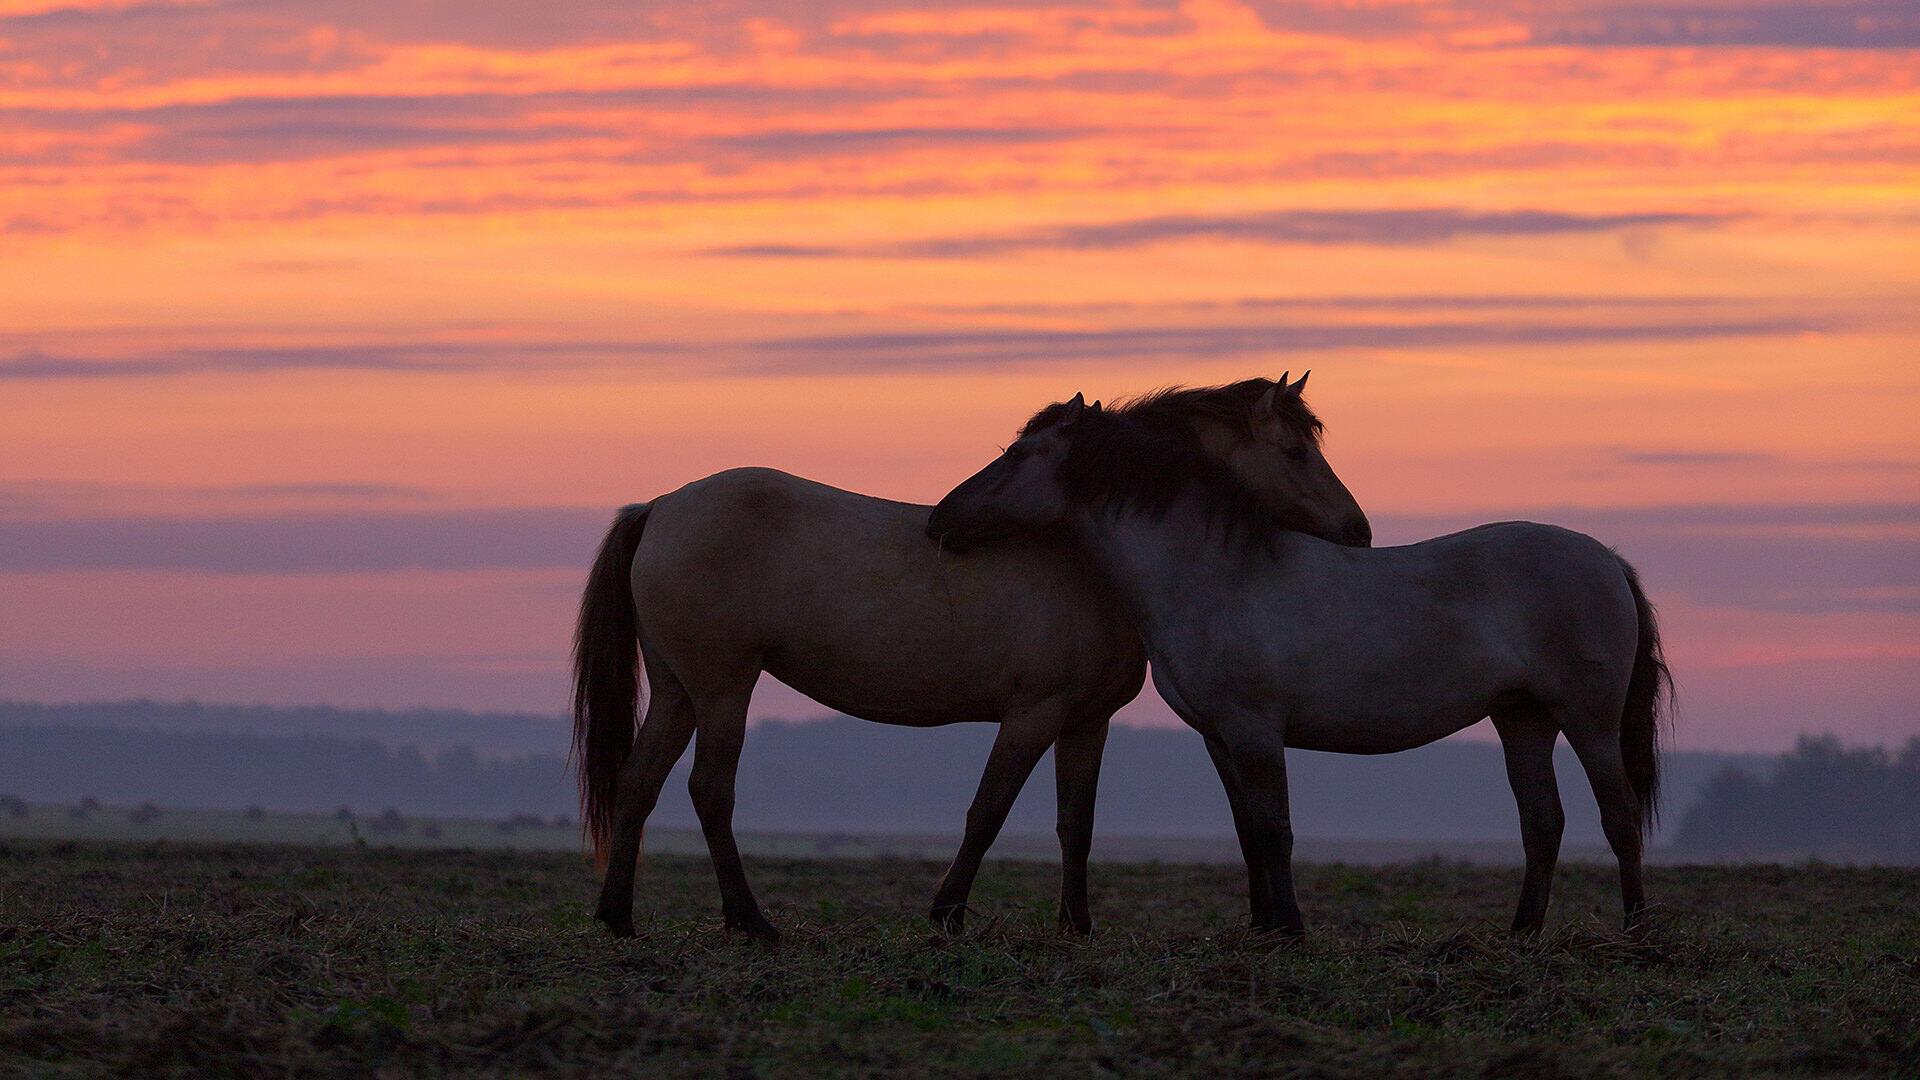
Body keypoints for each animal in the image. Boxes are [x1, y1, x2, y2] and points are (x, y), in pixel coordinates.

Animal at [568, 374, 1367, 937]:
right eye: (1295, 451)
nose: (1358, 531)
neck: (1093, 561)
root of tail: (660, 506)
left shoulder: (1088, 722)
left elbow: (1076, 824)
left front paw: (1078, 926)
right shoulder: (1033, 714)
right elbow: (988, 810)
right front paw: (947, 914)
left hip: (678, 692)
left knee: (639, 786)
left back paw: (618, 917)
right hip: (723, 690)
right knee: (710, 790)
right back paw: (750, 921)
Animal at [925, 388, 1666, 933]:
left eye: (1019, 452)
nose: (940, 518)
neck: (1218, 576)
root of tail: (1608, 560)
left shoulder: (1257, 731)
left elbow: (1276, 829)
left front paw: (1289, 930)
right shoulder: (1221, 735)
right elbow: (1250, 831)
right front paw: (1267, 927)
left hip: (1589, 721)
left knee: (1619, 815)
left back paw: (1635, 932)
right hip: (1523, 720)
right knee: (1544, 823)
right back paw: (1520, 935)